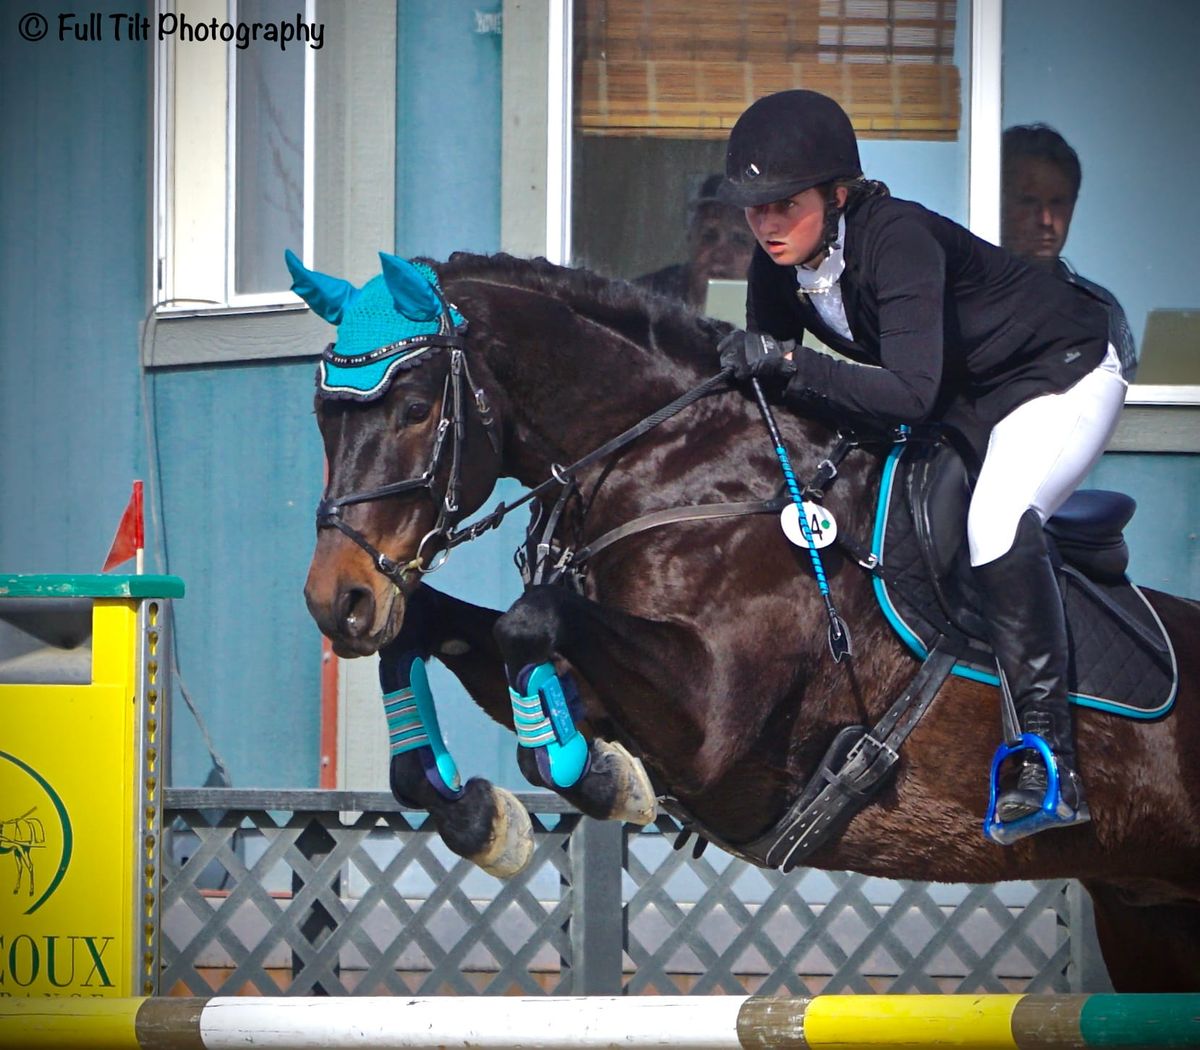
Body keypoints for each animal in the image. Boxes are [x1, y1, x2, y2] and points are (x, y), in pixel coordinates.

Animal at [297, 250, 1200, 992]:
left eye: (417, 407)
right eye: (320, 414)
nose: (337, 600)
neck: (678, 466)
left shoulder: (714, 721)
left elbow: (530, 628)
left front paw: (601, 780)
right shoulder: (600, 679)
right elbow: (446, 639)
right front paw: (484, 815)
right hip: (1147, 913)